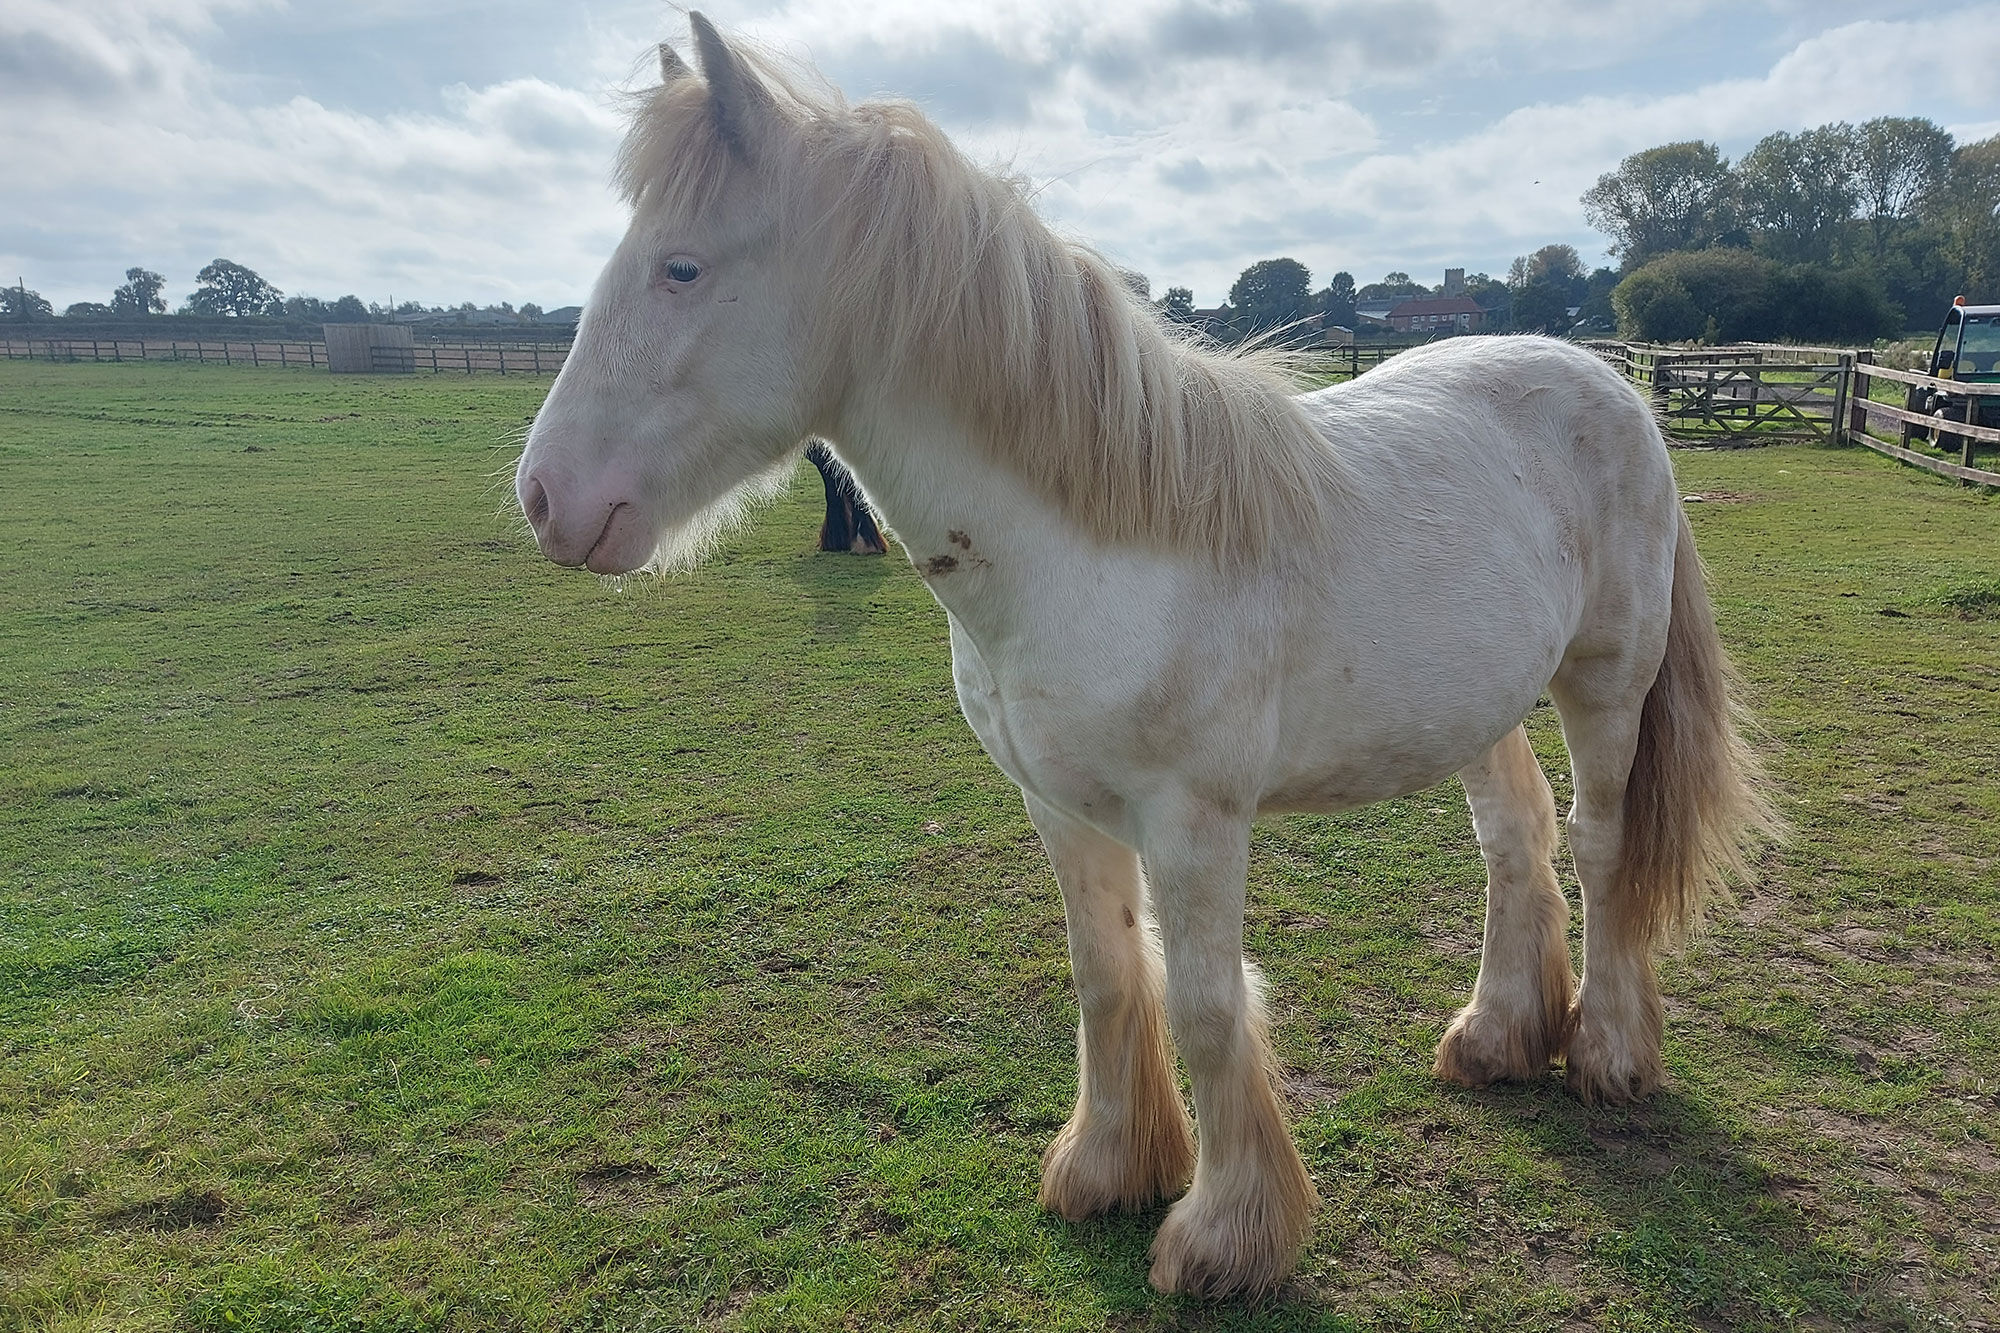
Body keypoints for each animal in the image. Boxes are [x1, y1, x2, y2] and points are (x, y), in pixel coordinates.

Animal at [520, 15, 1784, 1288]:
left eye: (681, 268)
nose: (545, 498)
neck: (1091, 549)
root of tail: (1608, 383)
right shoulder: (1057, 804)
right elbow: (1107, 976)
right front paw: (1106, 1168)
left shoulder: (1192, 820)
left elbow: (1208, 1005)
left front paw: (1223, 1232)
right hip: (1479, 704)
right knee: (1514, 837)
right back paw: (1496, 1037)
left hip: (1603, 685)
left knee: (1602, 846)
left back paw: (1609, 1055)